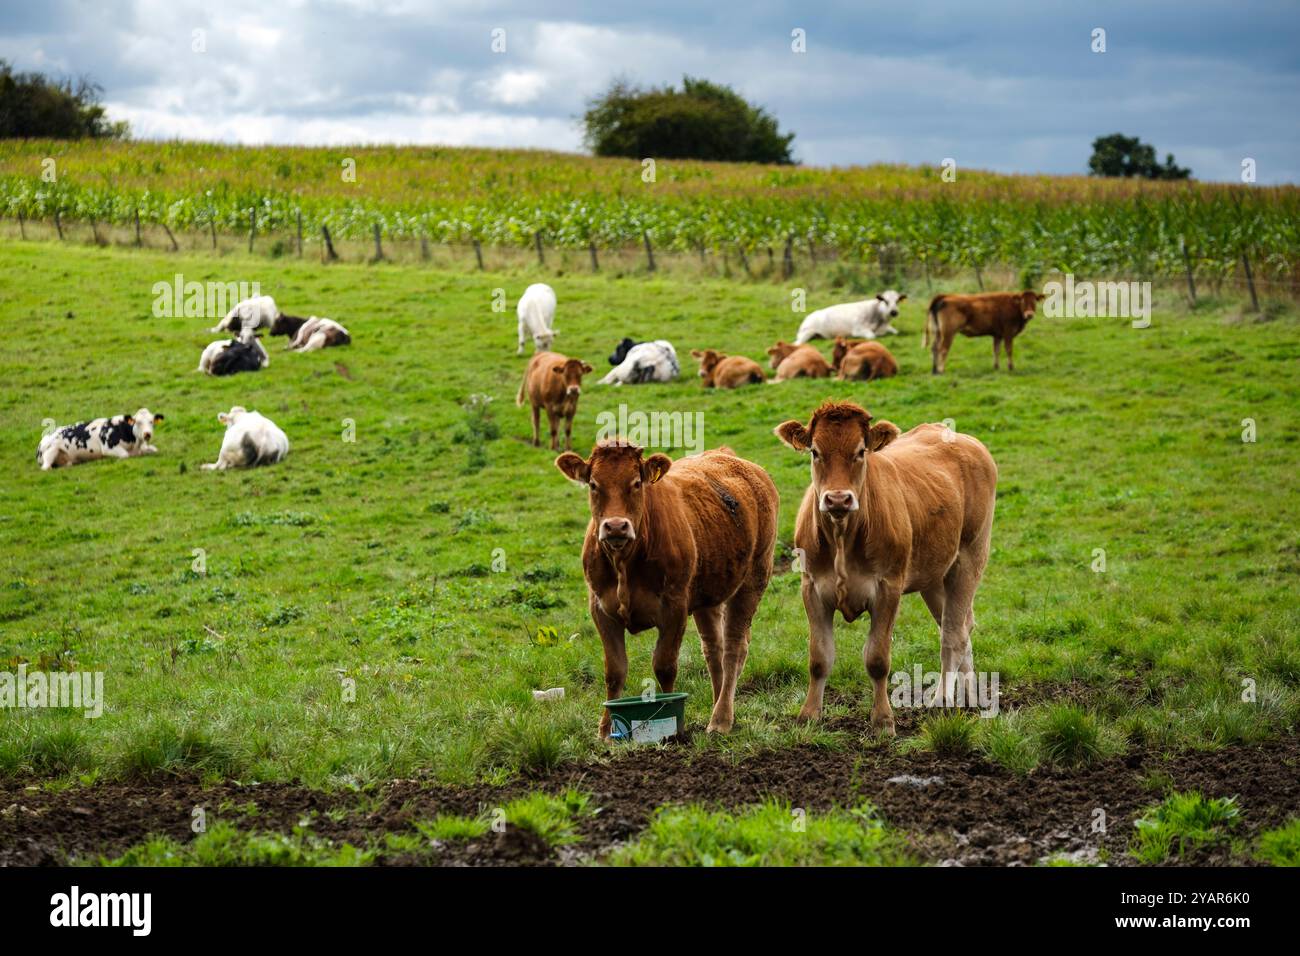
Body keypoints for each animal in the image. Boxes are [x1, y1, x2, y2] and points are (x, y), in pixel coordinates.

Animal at [553, 442, 774, 738]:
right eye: (593, 484)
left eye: (636, 483)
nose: (615, 526)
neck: (624, 563)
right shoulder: (601, 610)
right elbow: (614, 671)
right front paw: (605, 730)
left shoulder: (675, 607)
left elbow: (665, 666)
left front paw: (669, 720)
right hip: (708, 594)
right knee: (713, 649)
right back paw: (717, 704)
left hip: (755, 576)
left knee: (734, 648)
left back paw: (721, 718)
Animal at [774, 400, 998, 738]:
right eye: (815, 451)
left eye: (861, 451)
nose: (837, 499)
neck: (842, 536)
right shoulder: (811, 587)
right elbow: (819, 658)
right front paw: (809, 715)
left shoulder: (887, 588)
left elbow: (877, 659)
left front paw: (882, 720)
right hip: (933, 575)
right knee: (959, 625)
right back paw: (971, 695)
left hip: (971, 555)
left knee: (953, 633)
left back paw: (943, 699)